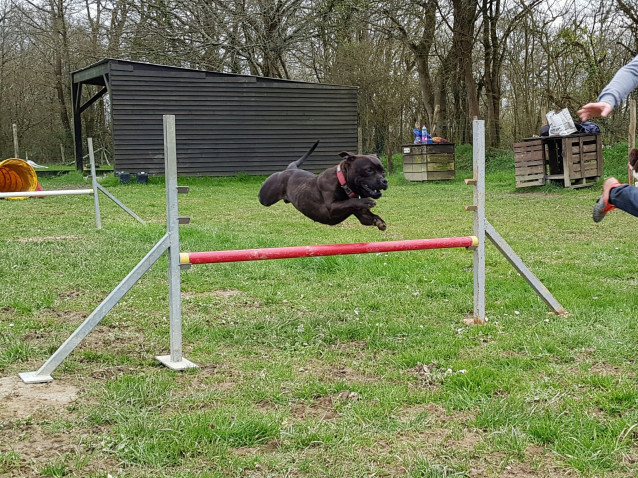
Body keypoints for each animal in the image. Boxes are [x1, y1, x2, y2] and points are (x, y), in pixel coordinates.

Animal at [258, 141, 390, 231]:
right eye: (369, 170)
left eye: (383, 171)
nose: (384, 181)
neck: (343, 182)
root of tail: (291, 168)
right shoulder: (331, 208)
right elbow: (350, 201)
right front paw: (367, 201)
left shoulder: (363, 215)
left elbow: (369, 215)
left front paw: (379, 222)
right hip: (266, 197)